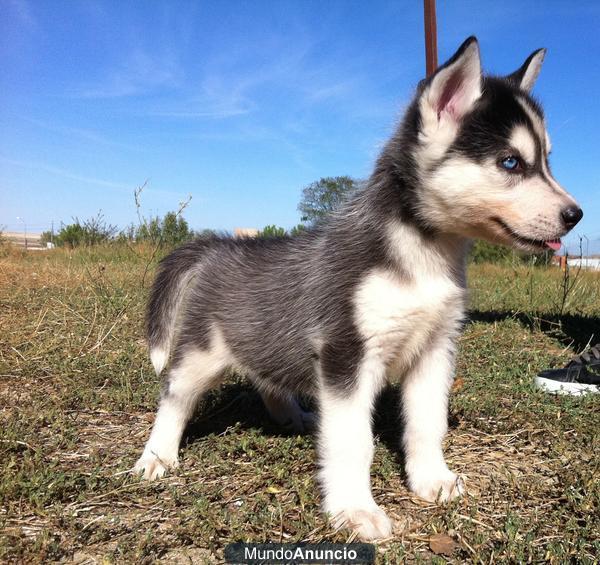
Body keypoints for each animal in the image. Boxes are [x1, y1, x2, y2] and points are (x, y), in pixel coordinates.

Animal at [135, 37, 580, 540]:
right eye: (510, 162)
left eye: (546, 161)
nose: (575, 214)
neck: (424, 254)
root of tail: (221, 245)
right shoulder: (347, 354)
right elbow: (353, 441)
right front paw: (354, 509)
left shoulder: (436, 349)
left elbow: (427, 423)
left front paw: (432, 479)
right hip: (202, 354)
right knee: (174, 394)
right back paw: (156, 457)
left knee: (268, 377)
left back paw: (294, 416)